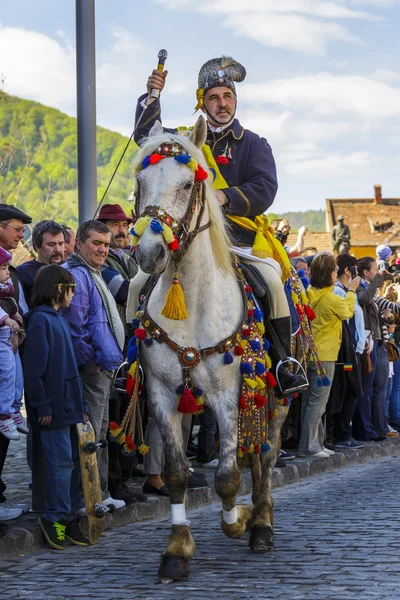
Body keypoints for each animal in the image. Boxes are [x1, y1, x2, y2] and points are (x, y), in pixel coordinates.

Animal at [131, 117, 288, 580]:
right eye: (140, 181)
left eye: (187, 184)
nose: (149, 252)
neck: (190, 300)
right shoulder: (162, 395)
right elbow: (177, 474)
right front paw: (177, 550)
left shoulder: (228, 395)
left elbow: (227, 477)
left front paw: (238, 520)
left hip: (276, 398)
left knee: (265, 458)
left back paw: (261, 524)